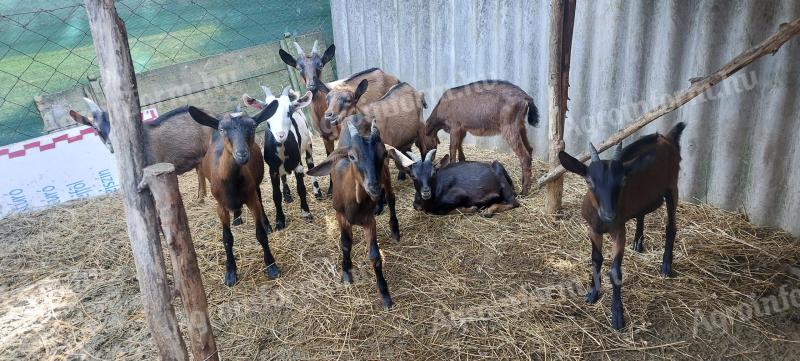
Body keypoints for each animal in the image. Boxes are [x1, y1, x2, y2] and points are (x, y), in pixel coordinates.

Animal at [188, 102, 282, 286]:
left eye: (252, 126)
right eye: (222, 129)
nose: (242, 154)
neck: (231, 183)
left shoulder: (251, 198)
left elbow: (260, 234)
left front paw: (271, 266)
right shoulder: (221, 206)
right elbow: (227, 239)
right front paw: (231, 273)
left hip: (256, 185)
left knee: (260, 199)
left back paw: (265, 223)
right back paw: (237, 217)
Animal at [242, 86, 318, 229]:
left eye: (289, 111)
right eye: (267, 112)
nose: (280, 135)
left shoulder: (297, 165)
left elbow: (301, 189)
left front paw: (306, 213)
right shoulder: (273, 169)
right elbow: (276, 195)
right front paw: (280, 221)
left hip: (308, 144)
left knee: (310, 163)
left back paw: (317, 192)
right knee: (284, 177)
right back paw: (287, 195)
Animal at [310, 117, 404, 310]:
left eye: (383, 154)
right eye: (352, 156)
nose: (374, 187)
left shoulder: (369, 221)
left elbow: (375, 255)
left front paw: (385, 294)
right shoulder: (340, 216)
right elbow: (346, 243)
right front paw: (347, 273)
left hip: (385, 177)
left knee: (391, 198)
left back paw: (395, 229)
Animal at [388, 148, 520, 215]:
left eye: (433, 173)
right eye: (413, 176)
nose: (426, 192)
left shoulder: (459, 195)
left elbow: (442, 210)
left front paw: (472, 209)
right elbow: (417, 206)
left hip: (503, 184)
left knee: (514, 202)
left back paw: (488, 211)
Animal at [556, 121, 688, 330]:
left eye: (623, 180)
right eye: (589, 181)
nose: (609, 214)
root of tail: (667, 136)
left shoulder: (618, 231)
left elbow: (615, 271)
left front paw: (617, 316)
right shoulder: (592, 230)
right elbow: (596, 259)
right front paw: (592, 293)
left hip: (672, 187)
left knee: (671, 226)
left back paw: (666, 267)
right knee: (642, 212)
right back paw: (638, 243)